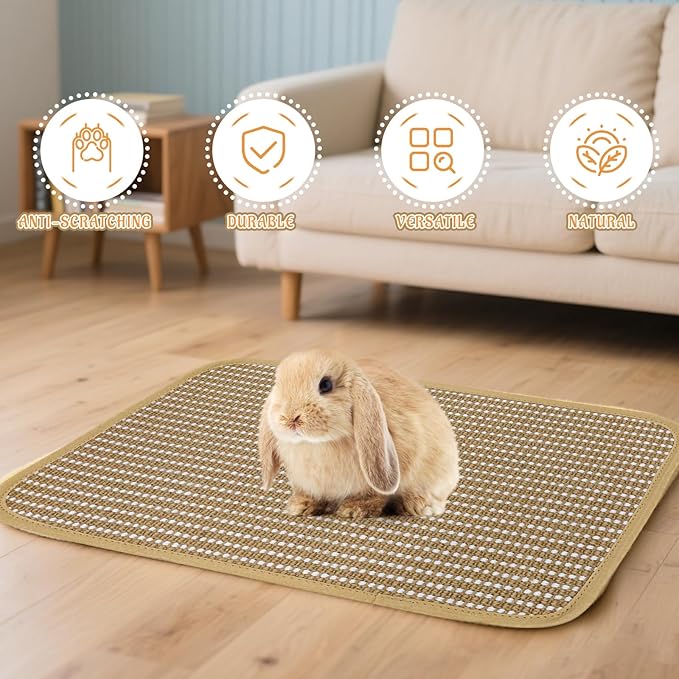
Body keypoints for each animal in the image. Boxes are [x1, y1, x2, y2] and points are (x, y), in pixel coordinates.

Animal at [258, 349, 459, 519]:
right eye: (279, 385)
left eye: (326, 384)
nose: (290, 418)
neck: (317, 444)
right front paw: (300, 506)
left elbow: (374, 496)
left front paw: (352, 509)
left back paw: (422, 506)